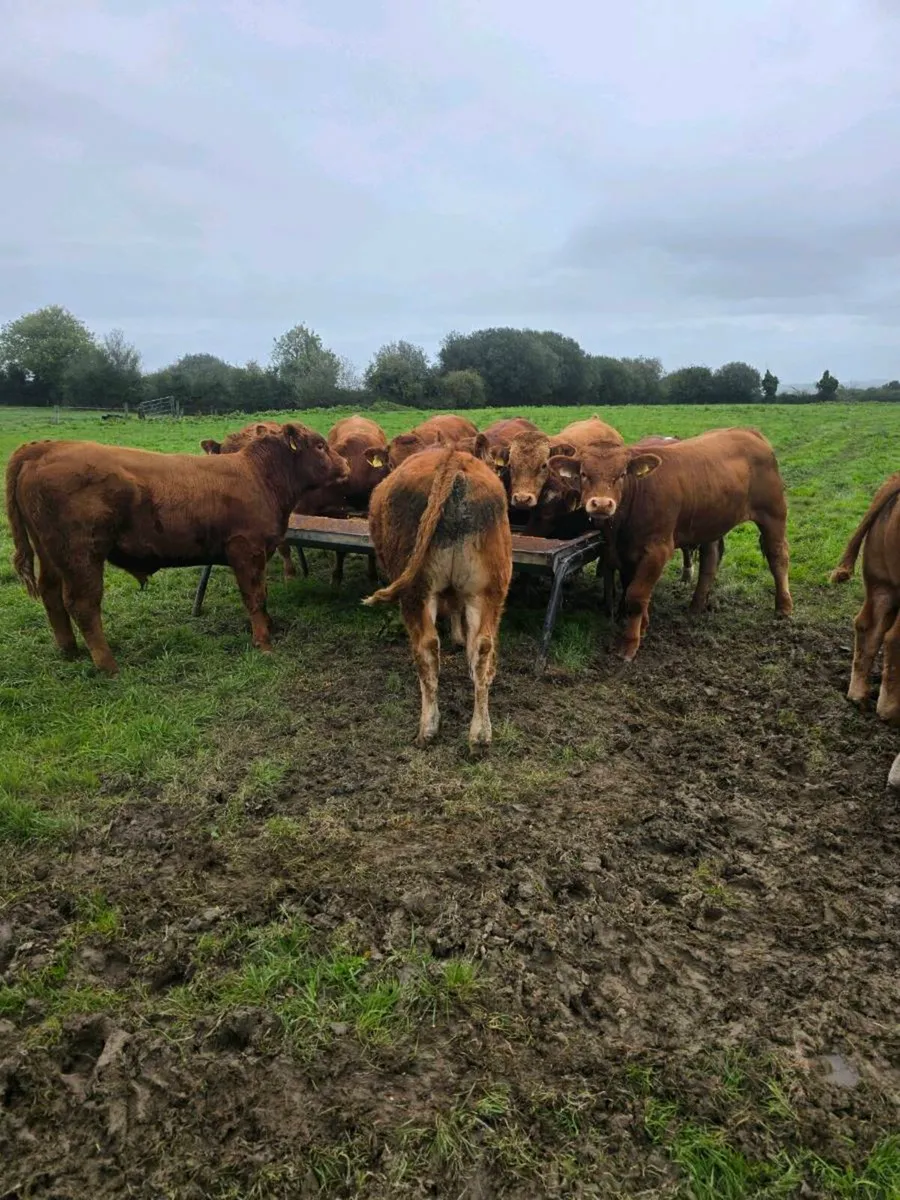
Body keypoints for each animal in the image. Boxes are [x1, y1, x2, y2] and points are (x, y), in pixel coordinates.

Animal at [6, 424, 349, 675]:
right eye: (320, 445)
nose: (345, 464)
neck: (258, 476)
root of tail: (47, 446)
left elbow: (261, 596)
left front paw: (269, 626)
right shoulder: (246, 550)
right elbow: (255, 596)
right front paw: (263, 643)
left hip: (51, 555)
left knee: (51, 595)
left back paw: (69, 650)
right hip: (82, 556)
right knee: (83, 605)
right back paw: (108, 666)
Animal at [364, 446, 512, 749]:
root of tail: (452, 459)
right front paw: (459, 638)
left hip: (416, 592)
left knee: (427, 649)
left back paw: (428, 728)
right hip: (488, 591)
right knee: (483, 648)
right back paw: (480, 734)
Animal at [549, 428, 792, 661]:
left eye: (622, 474)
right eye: (583, 474)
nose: (601, 504)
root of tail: (748, 431)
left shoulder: (658, 550)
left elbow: (636, 596)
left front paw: (630, 644)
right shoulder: (625, 552)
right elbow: (633, 589)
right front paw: (643, 626)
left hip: (773, 513)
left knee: (778, 556)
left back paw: (784, 607)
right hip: (711, 520)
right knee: (710, 561)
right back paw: (696, 606)